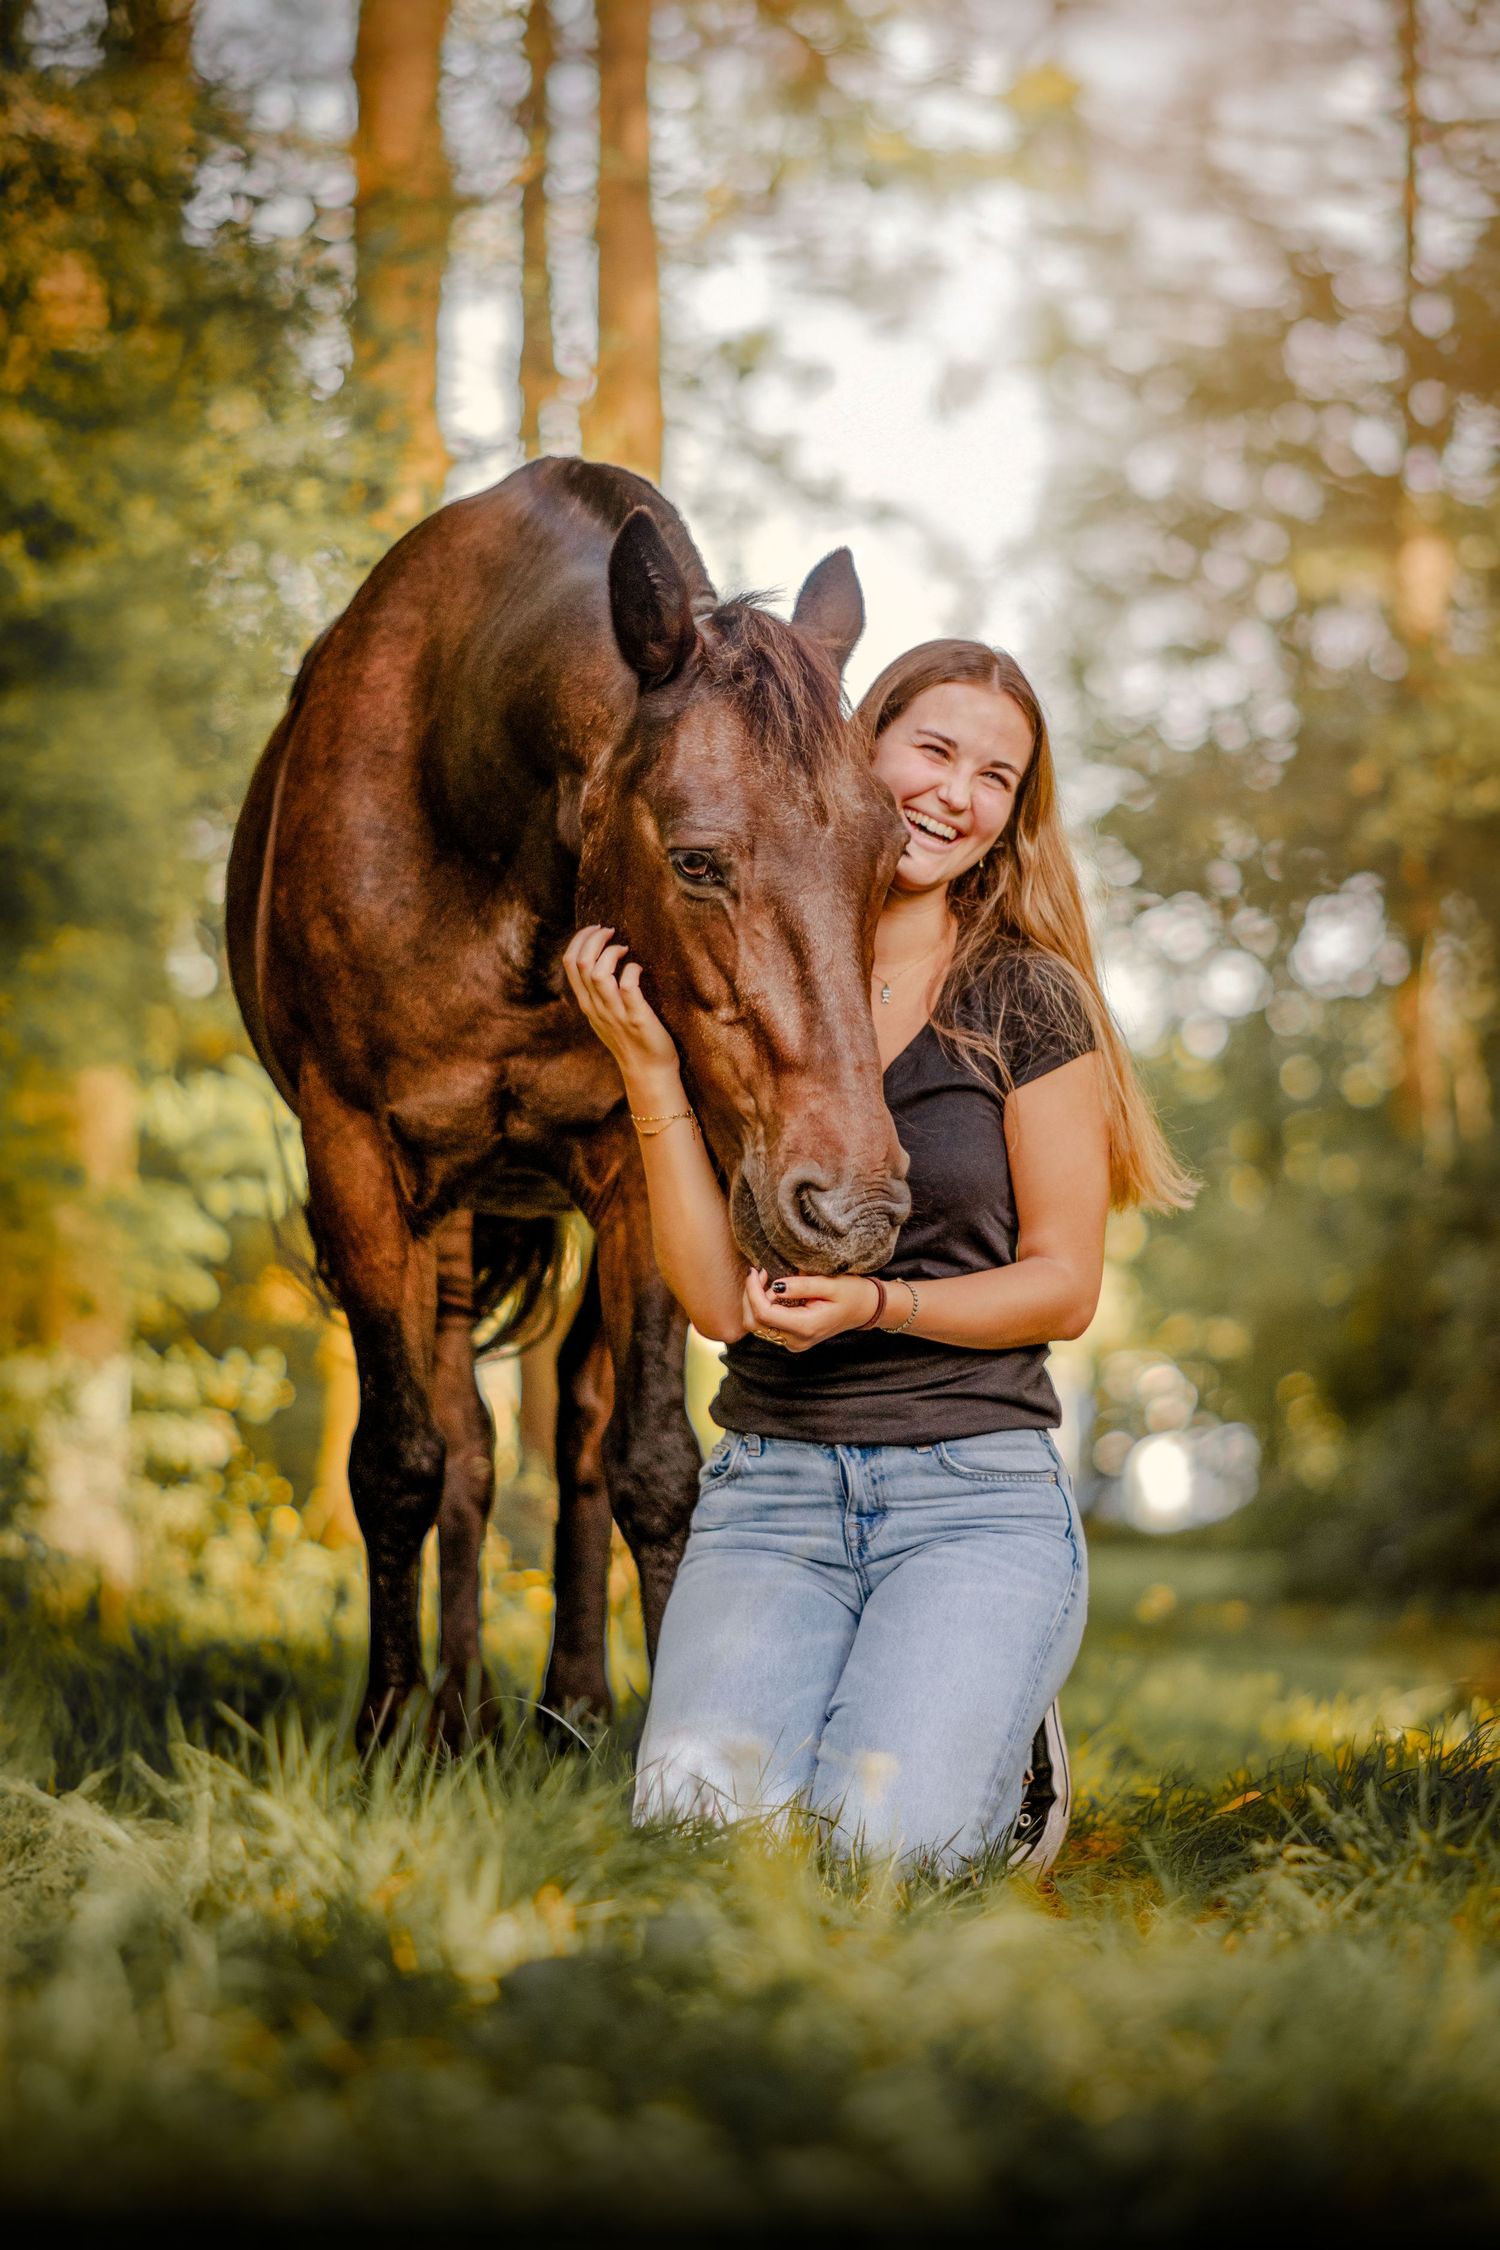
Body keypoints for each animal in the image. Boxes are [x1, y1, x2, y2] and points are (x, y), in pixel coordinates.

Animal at [226, 456, 912, 1746]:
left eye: (891, 860)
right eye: (695, 861)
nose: (850, 1208)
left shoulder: (640, 1167)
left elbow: (647, 1460)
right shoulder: (352, 1153)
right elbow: (399, 1461)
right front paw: (386, 1727)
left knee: (574, 1435)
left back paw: (573, 1710)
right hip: (445, 1212)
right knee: (465, 1445)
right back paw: (459, 1717)